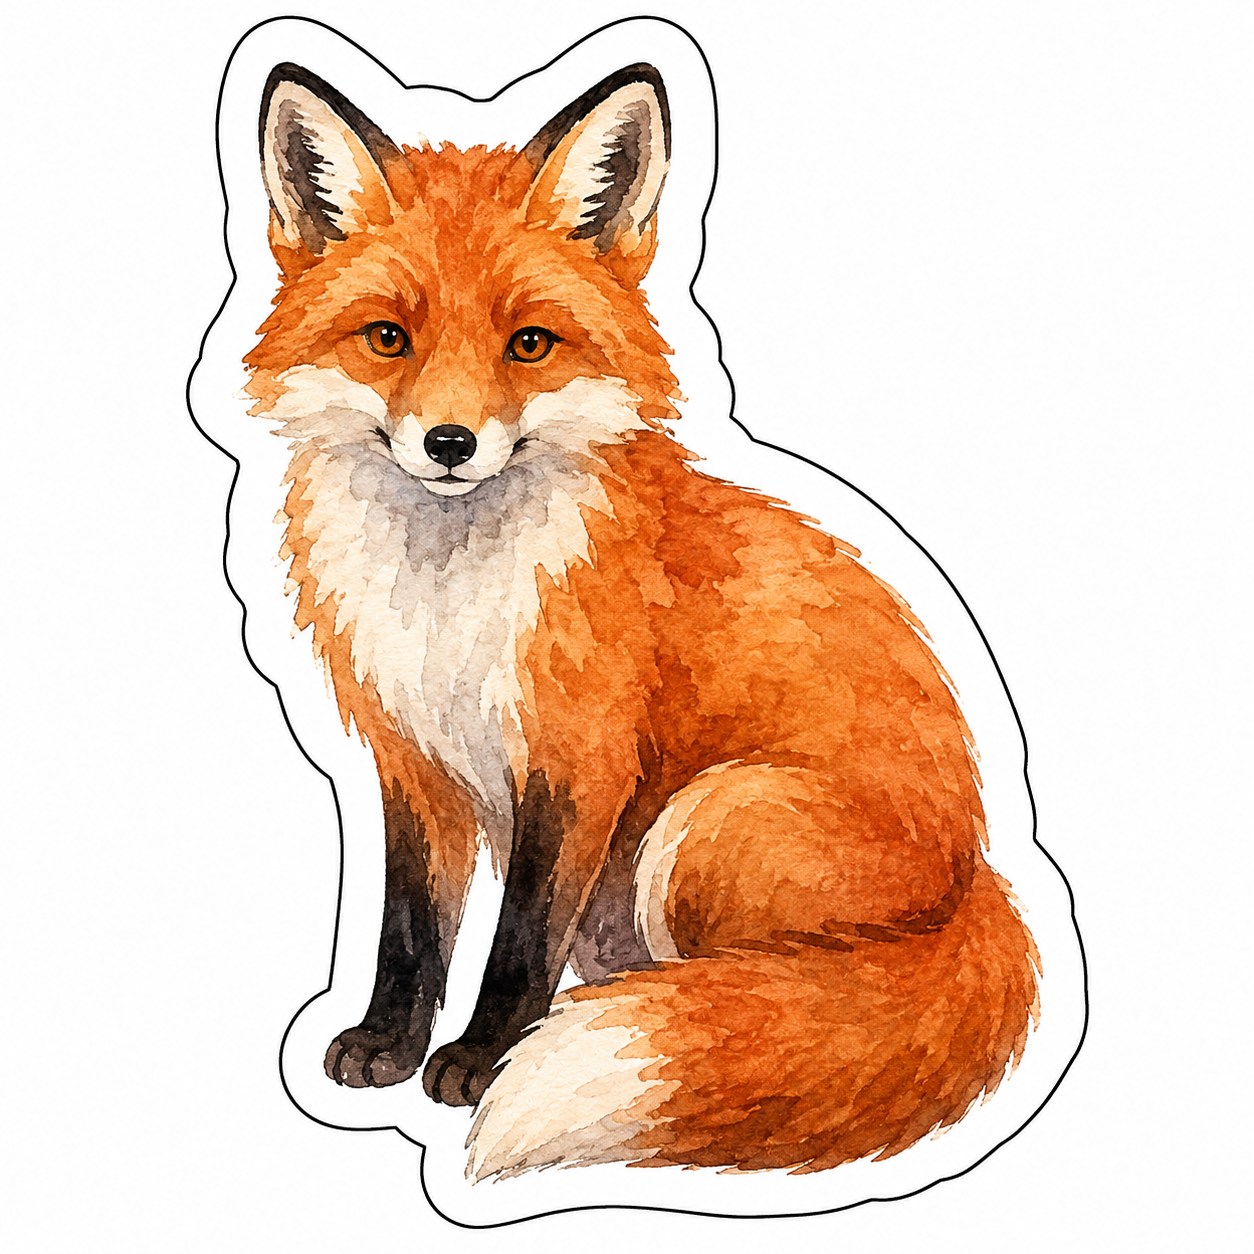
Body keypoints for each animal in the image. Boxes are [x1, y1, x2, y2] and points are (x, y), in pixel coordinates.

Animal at [244, 60, 1039, 1179]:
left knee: (768, 1008)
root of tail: (977, 882)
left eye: (528, 344)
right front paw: (389, 1045)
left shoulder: (580, 757)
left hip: (704, 822)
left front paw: (480, 1061)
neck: (451, 599)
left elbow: (518, 936)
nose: (449, 443)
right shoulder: (413, 756)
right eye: (388, 339)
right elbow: (410, 924)